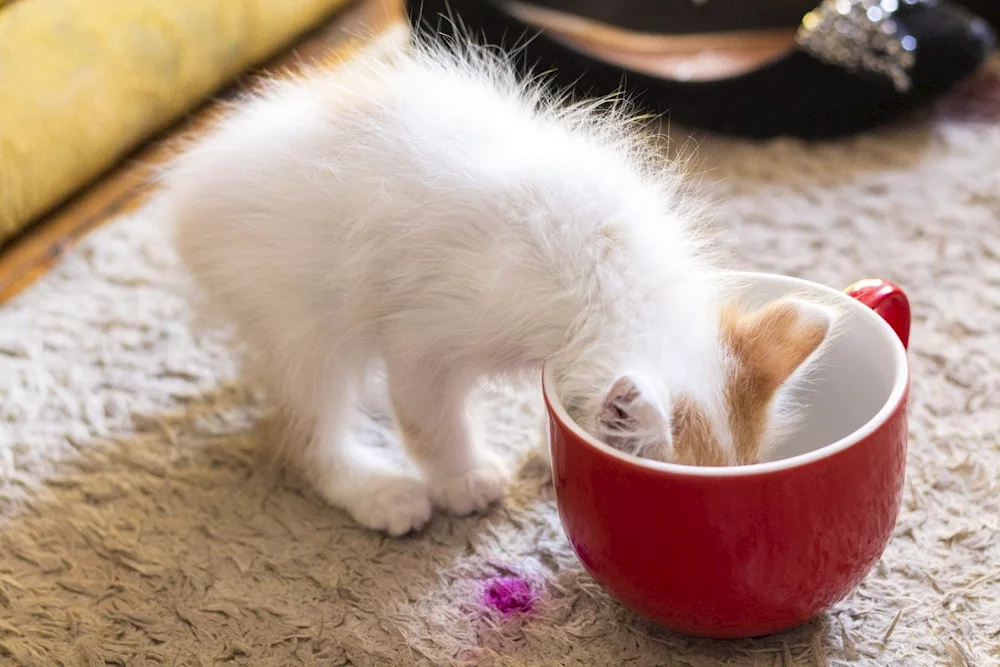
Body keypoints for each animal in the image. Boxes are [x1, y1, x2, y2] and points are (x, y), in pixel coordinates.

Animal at [164, 35, 836, 536]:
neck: (613, 273)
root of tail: (188, 190)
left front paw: (545, 443)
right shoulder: (424, 332)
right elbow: (430, 418)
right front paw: (460, 479)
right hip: (299, 314)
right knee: (304, 431)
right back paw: (377, 489)